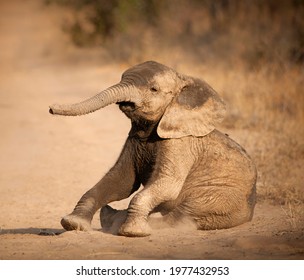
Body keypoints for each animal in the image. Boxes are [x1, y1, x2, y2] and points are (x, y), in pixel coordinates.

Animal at [50, 61, 256, 236]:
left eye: (153, 89)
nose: (51, 108)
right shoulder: (133, 139)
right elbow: (122, 181)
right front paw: (73, 224)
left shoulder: (181, 143)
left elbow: (167, 184)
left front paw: (133, 232)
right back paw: (110, 217)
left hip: (225, 198)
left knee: (188, 211)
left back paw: (130, 223)